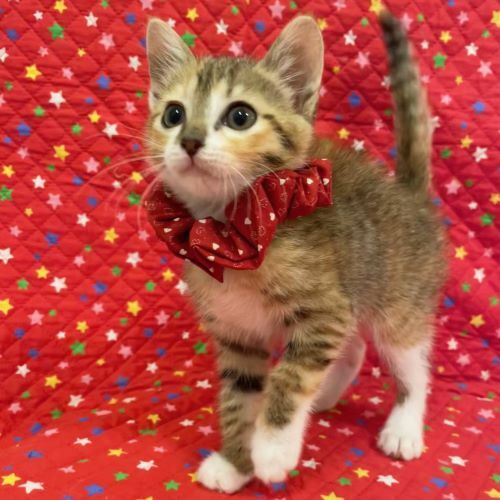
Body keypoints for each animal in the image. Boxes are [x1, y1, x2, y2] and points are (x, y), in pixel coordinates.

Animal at [144, 11, 446, 494]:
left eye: (240, 116)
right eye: (174, 114)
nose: (188, 140)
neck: (230, 230)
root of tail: (409, 194)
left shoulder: (323, 309)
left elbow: (291, 375)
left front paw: (272, 450)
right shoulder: (236, 331)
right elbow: (239, 396)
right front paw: (236, 463)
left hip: (398, 303)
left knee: (411, 364)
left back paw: (403, 427)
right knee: (352, 350)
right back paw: (324, 397)